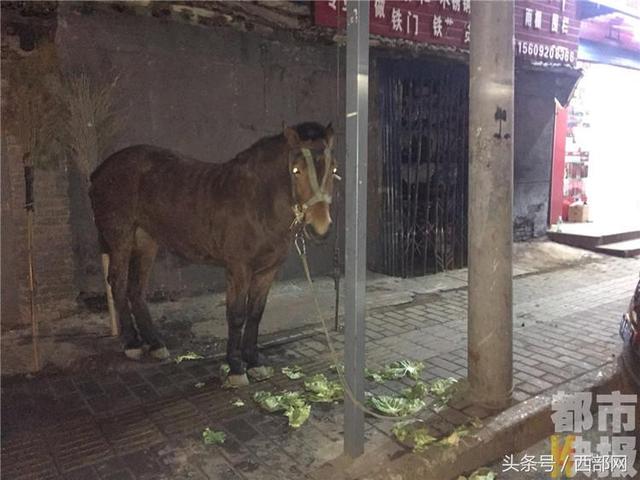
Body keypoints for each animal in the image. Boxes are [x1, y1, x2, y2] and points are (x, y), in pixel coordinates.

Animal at [89, 122, 337, 386]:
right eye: (296, 170)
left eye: (333, 169)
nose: (320, 228)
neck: (257, 202)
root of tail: (99, 171)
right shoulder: (238, 269)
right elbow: (236, 315)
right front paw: (236, 368)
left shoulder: (267, 271)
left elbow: (255, 314)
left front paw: (254, 362)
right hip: (121, 240)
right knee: (118, 283)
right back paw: (132, 343)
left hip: (146, 241)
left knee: (136, 289)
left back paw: (155, 344)